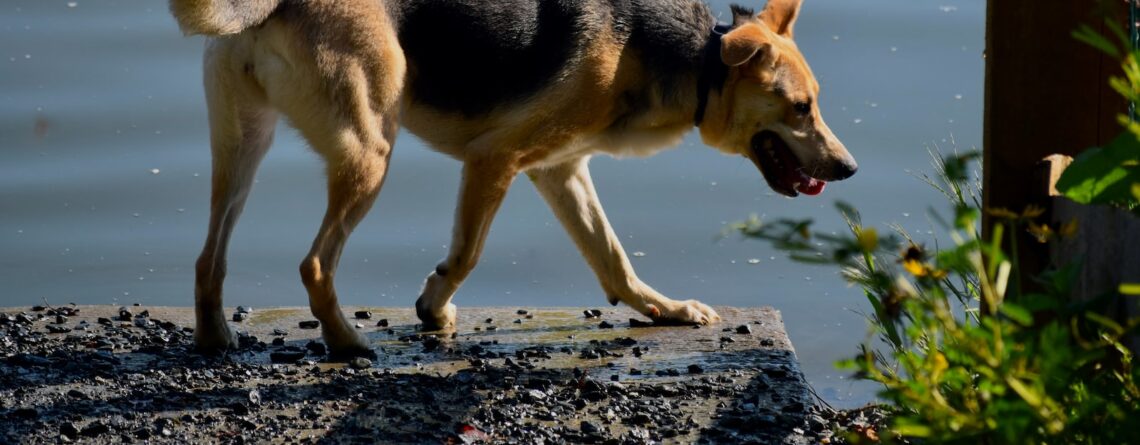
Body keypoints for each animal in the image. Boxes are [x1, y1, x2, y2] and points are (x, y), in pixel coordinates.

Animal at [171, 0, 857, 356]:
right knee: (316, 264)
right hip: (370, 153)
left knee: (208, 258)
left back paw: (213, 338)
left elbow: (613, 261)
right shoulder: (494, 160)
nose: (849, 169)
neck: (693, 61)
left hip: (242, 146)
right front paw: (432, 309)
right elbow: (467, 255)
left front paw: (664, 310)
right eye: (802, 108)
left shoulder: (561, 170)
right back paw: (349, 344)